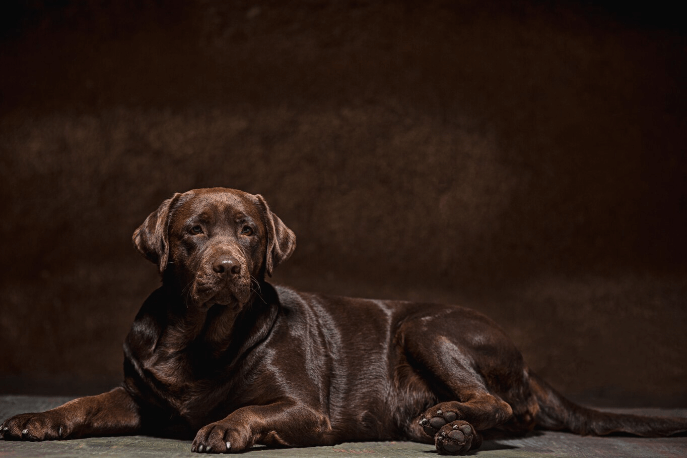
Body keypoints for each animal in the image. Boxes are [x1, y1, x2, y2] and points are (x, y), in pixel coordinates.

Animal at [1, 187, 687, 454]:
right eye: (193, 231)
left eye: (247, 232)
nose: (227, 268)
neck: (197, 337)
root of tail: (527, 362)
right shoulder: (141, 397)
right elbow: (87, 402)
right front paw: (38, 418)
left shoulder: (305, 410)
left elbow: (246, 410)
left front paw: (222, 427)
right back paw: (448, 430)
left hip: (428, 327)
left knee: (495, 402)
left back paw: (449, 419)